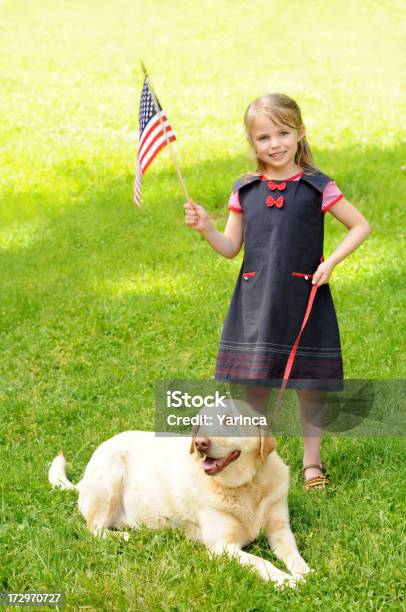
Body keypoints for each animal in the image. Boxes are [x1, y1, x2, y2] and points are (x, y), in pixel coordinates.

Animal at [50, 400, 310, 584]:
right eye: (202, 421)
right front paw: (286, 581)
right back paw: (125, 537)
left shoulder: (279, 529)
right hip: (111, 474)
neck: (244, 486)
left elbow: (293, 554)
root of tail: (83, 479)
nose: (200, 443)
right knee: (94, 528)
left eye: (229, 421)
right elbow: (261, 562)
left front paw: (305, 573)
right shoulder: (223, 546)